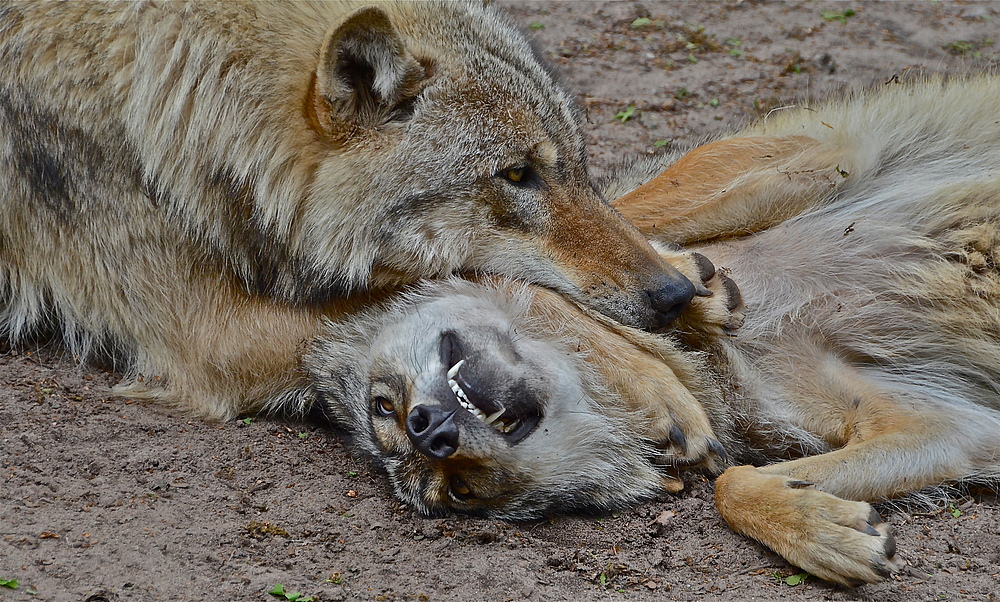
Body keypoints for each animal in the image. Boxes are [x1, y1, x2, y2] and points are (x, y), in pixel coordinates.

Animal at [0, 1, 696, 418]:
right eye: (518, 175)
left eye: (577, 163)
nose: (673, 294)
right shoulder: (214, 337)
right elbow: (475, 282)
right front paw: (652, 380)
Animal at [304, 76, 1000, 584]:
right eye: (459, 494)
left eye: (384, 406)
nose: (429, 432)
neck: (713, 354)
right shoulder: (952, 427)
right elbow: (729, 484)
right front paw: (826, 531)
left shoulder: (818, 151)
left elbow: (566, 255)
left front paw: (684, 297)